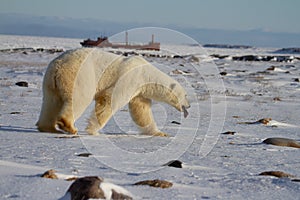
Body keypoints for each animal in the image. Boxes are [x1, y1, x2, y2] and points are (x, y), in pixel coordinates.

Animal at [35, 47, 190, 137]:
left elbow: (141, 111)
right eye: (186, 95)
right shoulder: (129, 78)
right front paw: (93, 130)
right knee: (79, 98)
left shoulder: (139, 91)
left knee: (51, 102)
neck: (145, 74)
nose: (189, 106)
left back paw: (48, 127)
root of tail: (58, 66)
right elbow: (109, 100)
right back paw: (69, 126)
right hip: (78, 75)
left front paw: (160, 133)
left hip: (50, 81)